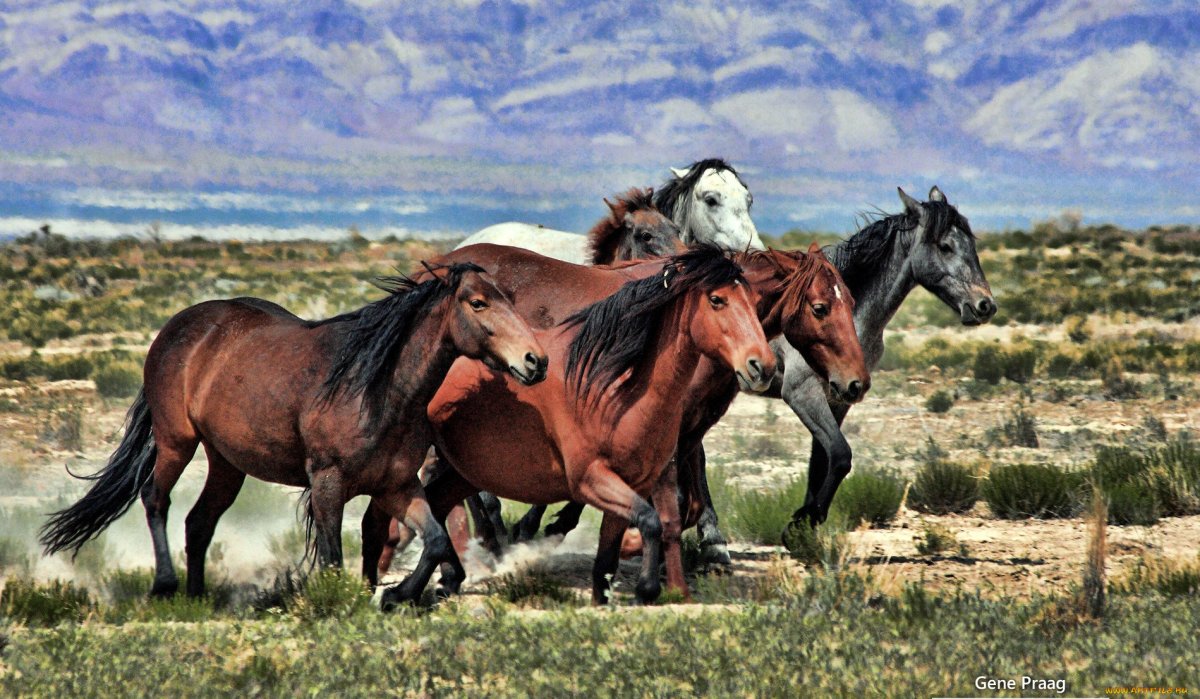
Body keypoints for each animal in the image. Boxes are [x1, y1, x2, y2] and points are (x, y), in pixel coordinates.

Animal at [40, 264, 548, 600]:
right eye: (478, 303)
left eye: (509, 299)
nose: (535, 361)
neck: (376, 389)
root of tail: (178, 327)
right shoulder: (327, 483)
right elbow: (333, 556)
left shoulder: (398, 485)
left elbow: (437, 539)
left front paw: (398, 594)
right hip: (176, 442)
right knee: (155, 499)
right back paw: (165, 586)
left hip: (227, 463)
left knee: (199, 521)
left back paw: (198, 595)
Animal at [362, 244, 868, 598]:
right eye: (821, 308)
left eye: (849, 300)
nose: (856, 383)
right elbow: (673, 506)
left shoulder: (679, 433)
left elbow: (679, 506)